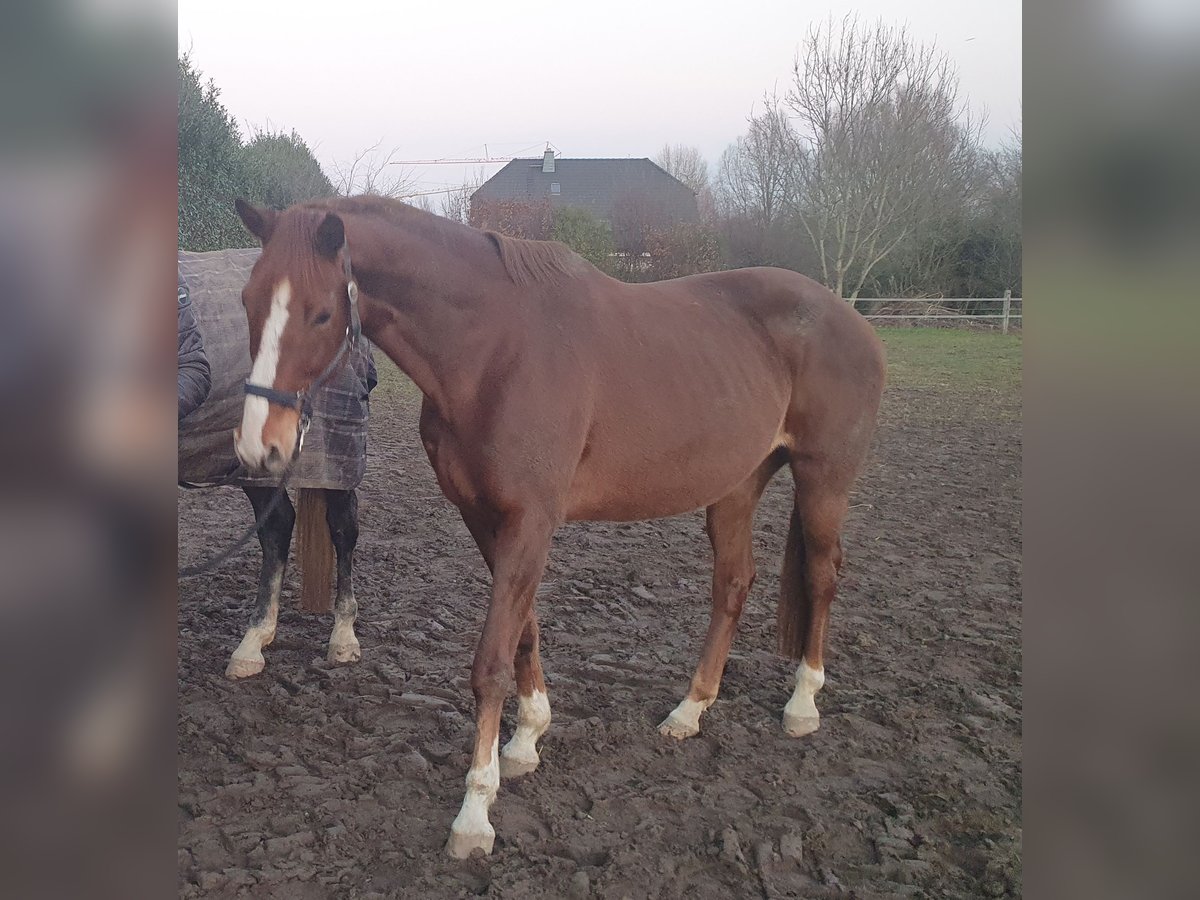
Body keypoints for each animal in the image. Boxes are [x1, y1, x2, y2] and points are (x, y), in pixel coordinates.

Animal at [231, 195, 883, 859]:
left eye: (321, 313)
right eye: (248, 302)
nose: (261, 447)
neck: (495, 348)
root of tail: (847, 316)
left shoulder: (531, 520)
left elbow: (491, 661)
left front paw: (476, 811)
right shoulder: (486, 518)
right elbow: (525, 631)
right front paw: (526, 740)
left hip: (824, 480)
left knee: (822, 576)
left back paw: (802, 702)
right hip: (735, 489)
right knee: (733, 584)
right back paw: (690, 710)